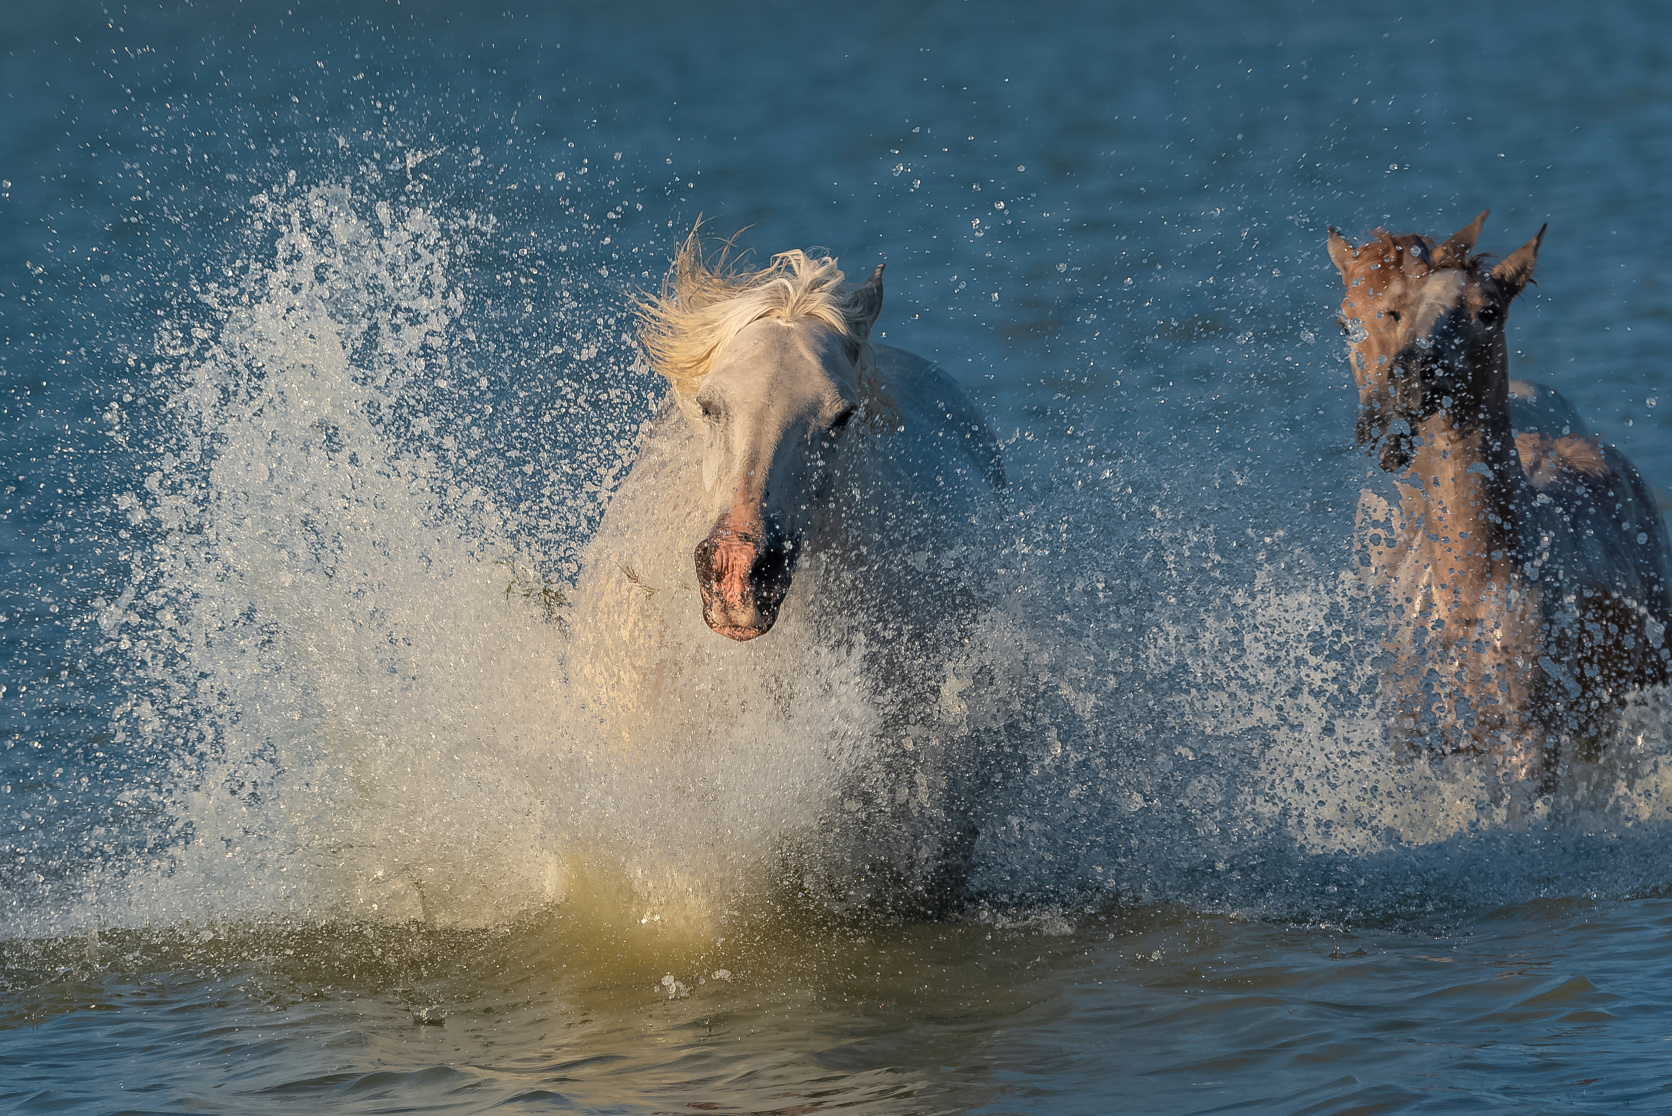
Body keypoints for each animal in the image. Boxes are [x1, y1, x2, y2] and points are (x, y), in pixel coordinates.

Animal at [1327, 212, 1672, 795]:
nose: (1410, 377)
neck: (1471, 586)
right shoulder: (1424, 747)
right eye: (1346, 321)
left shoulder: (1532, 745)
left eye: (1489, 311)